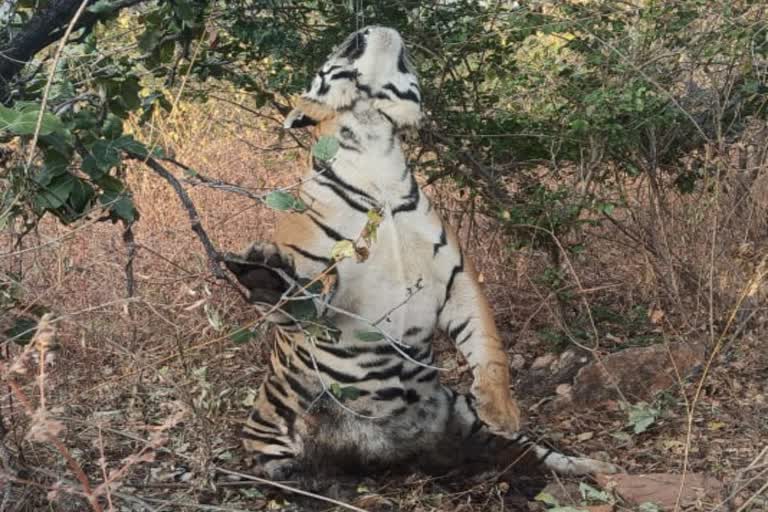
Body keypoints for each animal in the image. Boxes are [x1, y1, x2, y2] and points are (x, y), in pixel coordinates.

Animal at [224, 25, 616, 480]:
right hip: (270, 433)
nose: (369, 26)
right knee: (284, 467)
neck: (376, 149)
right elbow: (294, 301)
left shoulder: (457, 278)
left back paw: (595, 466)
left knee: (533, 454)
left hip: (465, 415)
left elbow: (490, 345)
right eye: (347, 45)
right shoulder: (318, 282)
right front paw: (261, 274)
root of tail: (397, 456)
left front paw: (502, 408)